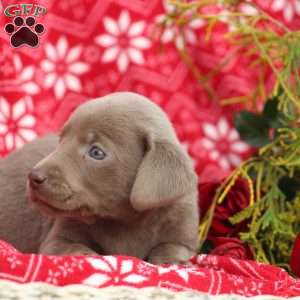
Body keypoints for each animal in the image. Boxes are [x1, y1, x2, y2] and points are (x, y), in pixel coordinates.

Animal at [0, 92, 199, 264]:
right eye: (61, 140)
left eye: (96, 152)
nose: (33, 177)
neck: (126, 220)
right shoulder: (57, 240)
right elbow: (74, 249)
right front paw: (90, 256)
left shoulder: (182, 233)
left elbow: (170, 248)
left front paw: (170, 261)